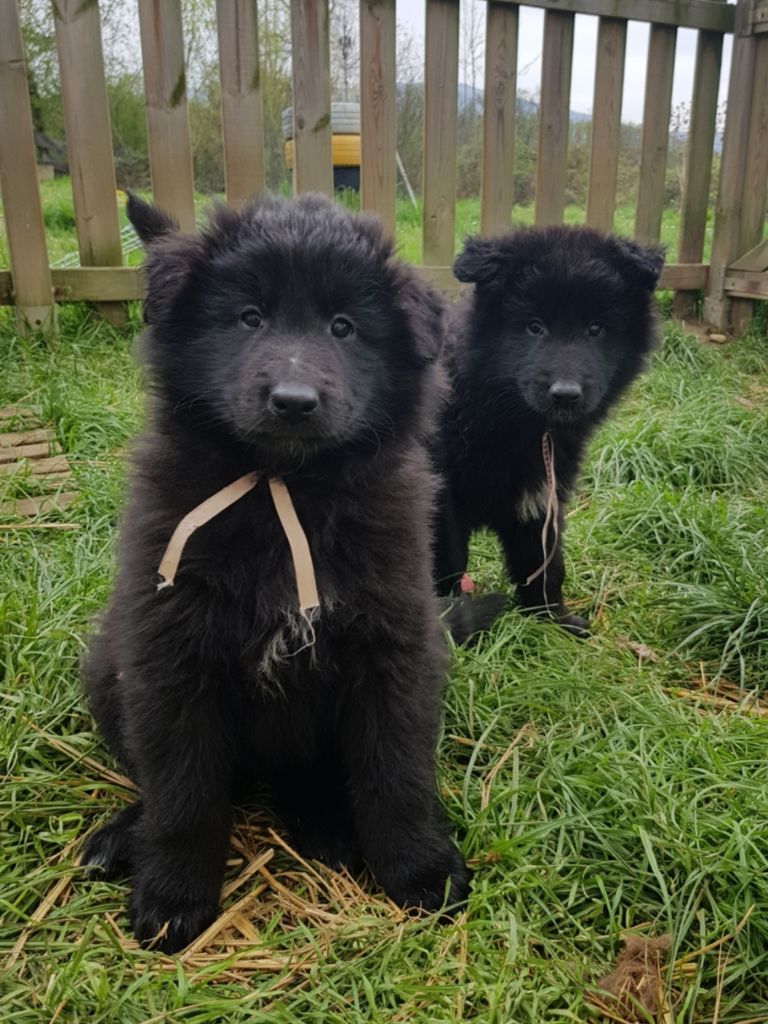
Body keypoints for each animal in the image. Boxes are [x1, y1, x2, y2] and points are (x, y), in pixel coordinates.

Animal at [82, 192, 468, 950]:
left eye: (344, 327)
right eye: (249, 317)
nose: (293, 400)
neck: (281, 489)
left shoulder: (394, 648)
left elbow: (396, 773)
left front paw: (421, 871)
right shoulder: (172, 654)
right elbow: (184, 791)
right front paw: (173, 896)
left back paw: (325, 826)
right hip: (109, 667)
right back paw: (123, 836)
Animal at [436, 228, 663, 634]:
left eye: (596, 328)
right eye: (534, 326)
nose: (566, 394)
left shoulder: (543, 491)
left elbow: (543, 562)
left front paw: (551, 619)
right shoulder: (439, 498)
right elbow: (448, 562)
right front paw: (451, 623)